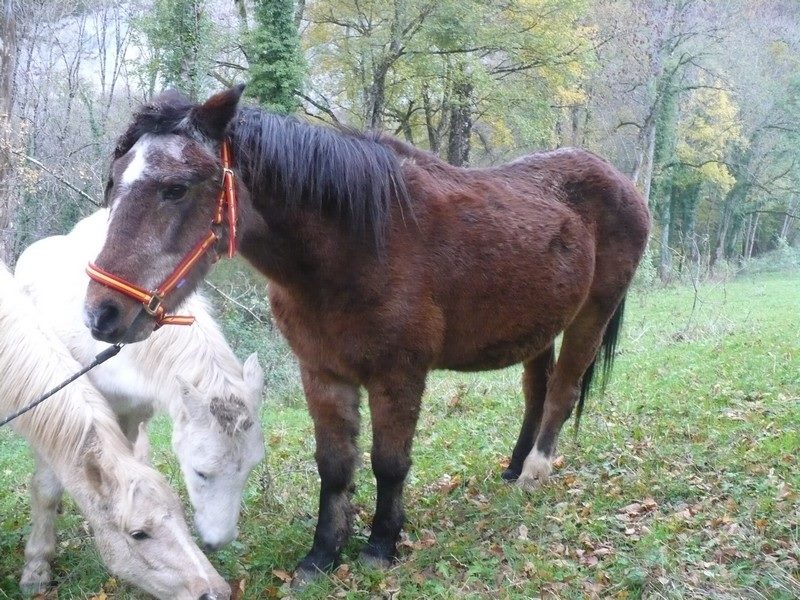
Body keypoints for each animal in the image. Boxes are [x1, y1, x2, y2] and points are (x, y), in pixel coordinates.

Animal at [15, 209, 266, 552]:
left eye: (252, 468)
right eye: (201, 473)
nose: (218, 542)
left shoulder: (132, 415)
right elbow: (47, 485)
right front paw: (38, 559)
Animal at [86, 86, 648, 584]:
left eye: (176, 188)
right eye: (114, 182)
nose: (101, 314)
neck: (355, 248)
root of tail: (622, 183)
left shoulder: (398, 376)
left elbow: (389, 462)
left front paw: (381, 544)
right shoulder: (322, 373)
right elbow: (335, 465)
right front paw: (322, 555)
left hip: (591, 316)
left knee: (562, 391)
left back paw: (535, 472)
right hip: (538, 329)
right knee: (536, 391)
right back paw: (513, 469)